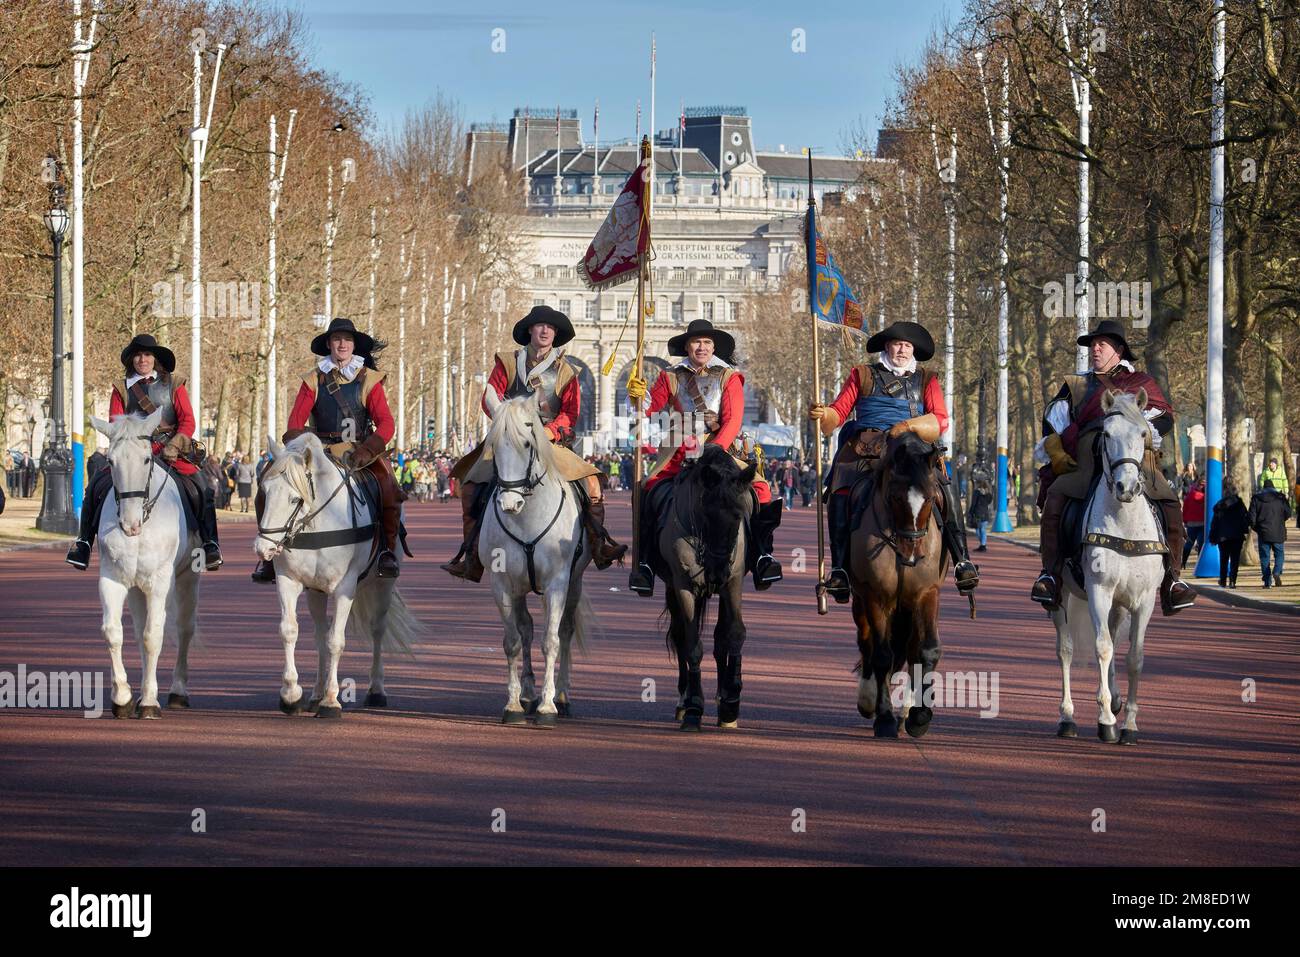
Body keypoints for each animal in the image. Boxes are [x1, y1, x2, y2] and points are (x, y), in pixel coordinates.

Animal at [89, 408, 200, 717]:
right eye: (111, 461)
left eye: (146, 459)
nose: (130, 525)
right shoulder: (113, 579)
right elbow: (114, 632)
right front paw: (123, 697)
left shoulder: (159, 582)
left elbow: (154, 636)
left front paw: (150, 700)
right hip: (136, 588)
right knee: (138, 633)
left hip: (186, 578)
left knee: (184, 628)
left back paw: (178, 691)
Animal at [252, 434, 416, 717]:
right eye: (264, 493)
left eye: (294, 499)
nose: (264, 549)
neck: (317, 524)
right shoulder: (288, 581)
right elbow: (290, 631)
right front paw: (291, 694)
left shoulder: (344, 588)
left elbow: (336, 641)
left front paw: (331, 700)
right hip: (316, 592)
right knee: (319, 635)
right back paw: (315, 694)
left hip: (383, 584)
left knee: (377, 629)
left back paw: (376, 690)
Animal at [478, 395, 598, 722]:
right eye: (493, 444)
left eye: (527, 443)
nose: (510, 503)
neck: (527, 519)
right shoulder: (501, 583)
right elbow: (513, 641)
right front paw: (513, 704)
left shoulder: (558, 581)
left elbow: (551, 641)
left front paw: (547, 706)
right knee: (526, 628)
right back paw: (528, 693)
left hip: (575, 581)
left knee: (565, 630)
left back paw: (562, 695)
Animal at [842, 434, 946, 738]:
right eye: (895, 497)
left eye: (931, 497)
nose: (911, 555)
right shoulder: (875, 596)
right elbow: (882, 654)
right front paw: (885, 717)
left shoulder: (926, 594)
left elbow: (927, 649)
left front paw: (919, 716)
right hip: (862, 601)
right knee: (867, 643)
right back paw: (869, 701)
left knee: (910, 648)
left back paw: (907, 710)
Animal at [1050, 384, 1164, 743]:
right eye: (1107, 434)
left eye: (1143, 433)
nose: (1126, 488)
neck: (1125, 522)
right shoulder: (1099, 591)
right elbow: (1102, 648)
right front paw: (1106, 721)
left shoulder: (1144, 599)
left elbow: (1134, 656)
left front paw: (1129, 724)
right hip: (1061, 596)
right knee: (1066, 649)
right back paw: (1067, 717)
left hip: (1119, 602)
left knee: (1113, 637)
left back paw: (1114, 698)